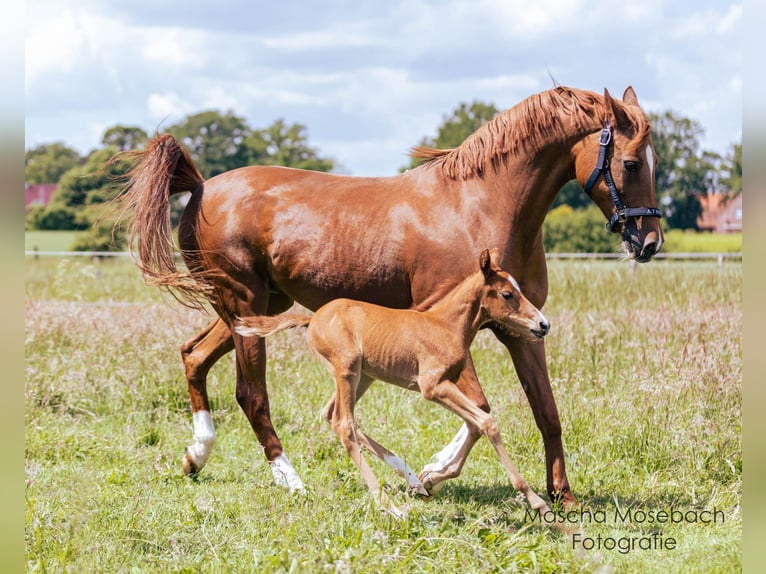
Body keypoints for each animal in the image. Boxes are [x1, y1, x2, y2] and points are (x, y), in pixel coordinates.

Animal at [234, 248, 551, 517]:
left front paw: (430, 478)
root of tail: (312, 320)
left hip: (364, 376)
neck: (445, 326)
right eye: (507, 294)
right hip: (347, 368)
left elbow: (476, 422)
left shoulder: (447, 384)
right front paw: (536, 501)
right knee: (343, 424)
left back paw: (410, 478)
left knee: (332, 415)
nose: (543, 325)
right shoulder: (432, 386)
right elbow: (487, 422)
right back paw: (390, 506)